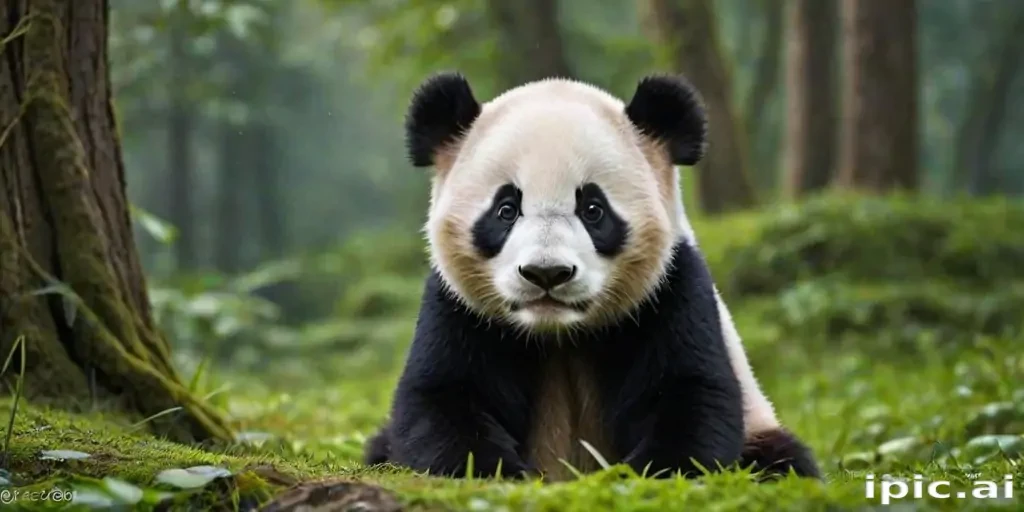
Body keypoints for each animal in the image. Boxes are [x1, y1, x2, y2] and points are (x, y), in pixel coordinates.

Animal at [363, 71, 821, 482]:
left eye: (593, 210)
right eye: (506, 209)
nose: (546, 273)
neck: (559, 334)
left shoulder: (672, 288)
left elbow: (691, 391)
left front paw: (645, 471)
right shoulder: (458, 305)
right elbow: (442, 397)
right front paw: (495, 470)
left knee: (782, 458)